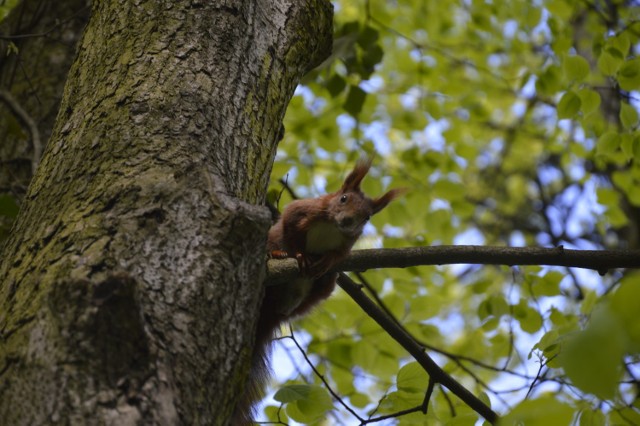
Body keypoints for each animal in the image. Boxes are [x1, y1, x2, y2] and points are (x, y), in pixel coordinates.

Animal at [231, 158, 400, 424]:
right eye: (343, 198)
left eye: (368, 217)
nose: (349, 221)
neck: (332, 226)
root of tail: (273, 313)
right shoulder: (303, 210)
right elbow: (291, 228)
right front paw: (299, 255)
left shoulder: (348, 243)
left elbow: (339, 255)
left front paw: (327, 260)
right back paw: (276, 255)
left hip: (316, 293)